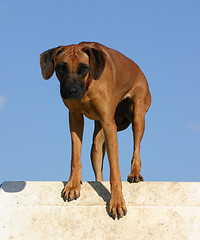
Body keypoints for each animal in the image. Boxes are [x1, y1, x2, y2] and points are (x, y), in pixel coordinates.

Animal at [39, 41, 151, 219]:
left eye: (84, 67)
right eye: (61, 67)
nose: (71, 91)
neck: (87, 88)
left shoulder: (109, 124)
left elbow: (115, 170)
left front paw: (117, 202)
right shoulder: (75, 119)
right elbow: (75, 156)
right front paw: (72, 185)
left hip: (138, 114)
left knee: (136, 149)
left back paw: (134, 173)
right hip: (97, 141)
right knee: (97, 158)